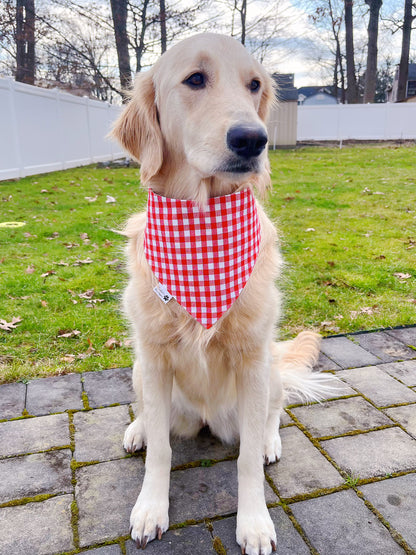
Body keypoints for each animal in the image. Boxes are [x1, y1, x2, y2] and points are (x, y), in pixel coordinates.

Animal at [111, 33, 334, 555]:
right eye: (195, 79)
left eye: (254, 86)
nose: (253, 139)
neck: (202, 225)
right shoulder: (152, 356)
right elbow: (162, 451)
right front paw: (151, 508)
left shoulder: (252, 359)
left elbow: (247, 459)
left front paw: (253, 521)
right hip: (139, 371)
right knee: (152, 418)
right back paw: (138, 430)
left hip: (268, 372)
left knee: (274, 413)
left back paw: (271, 441)